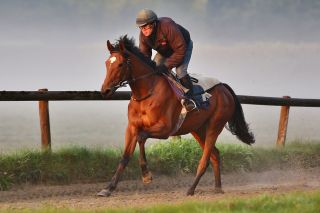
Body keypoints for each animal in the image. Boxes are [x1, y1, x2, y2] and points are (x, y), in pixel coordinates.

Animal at [98, 35, 255, 197]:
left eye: (121, 64)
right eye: (107, 63)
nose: (105, 90)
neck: (147, 93)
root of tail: (224, 87)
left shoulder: (165, 129)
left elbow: (141, 138)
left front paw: (146, 175)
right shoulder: (132, 128)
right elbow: (125, 157)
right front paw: (108, 188)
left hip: (215, 125)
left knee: (205, 159)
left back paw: (191, 189)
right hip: (198, 129)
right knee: (215, 155)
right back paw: (217, 188)